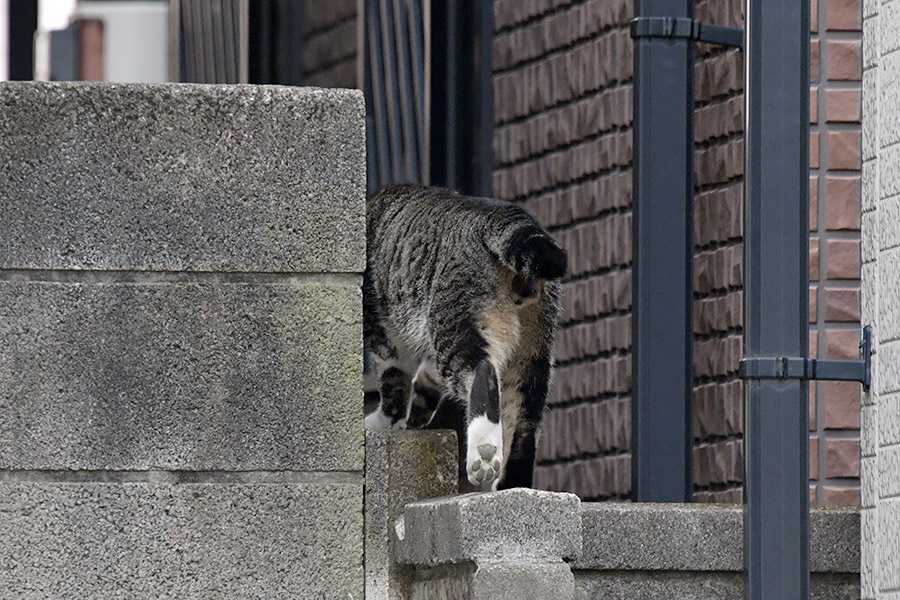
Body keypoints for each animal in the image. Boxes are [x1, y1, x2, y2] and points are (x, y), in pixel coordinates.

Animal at [362, 183, 568, 488]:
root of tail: (502, 216)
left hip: (454, 319)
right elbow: (427, 378)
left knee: (482, 372)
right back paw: (511, 483)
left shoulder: (386, 334)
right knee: (525, 417)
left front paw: (383, 422)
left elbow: (393, 384)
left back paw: (483, 453)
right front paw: (418, 410)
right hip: (532, 349)